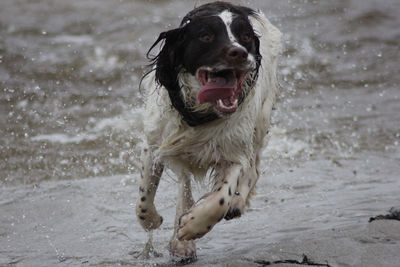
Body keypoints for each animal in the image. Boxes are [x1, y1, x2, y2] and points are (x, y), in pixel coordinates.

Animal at [136, 0, 282, 264]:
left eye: (245, 36)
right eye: (206, 36)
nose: (239, 52)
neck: (200, 116)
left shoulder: (234, 153)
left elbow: (221, 198)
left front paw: (194, 225)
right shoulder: (154, 144)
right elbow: (144, 195)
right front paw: (152, 220)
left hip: (260, 122)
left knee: (253, 169)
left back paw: (234, 203)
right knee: (184, 185)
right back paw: (181, 246)